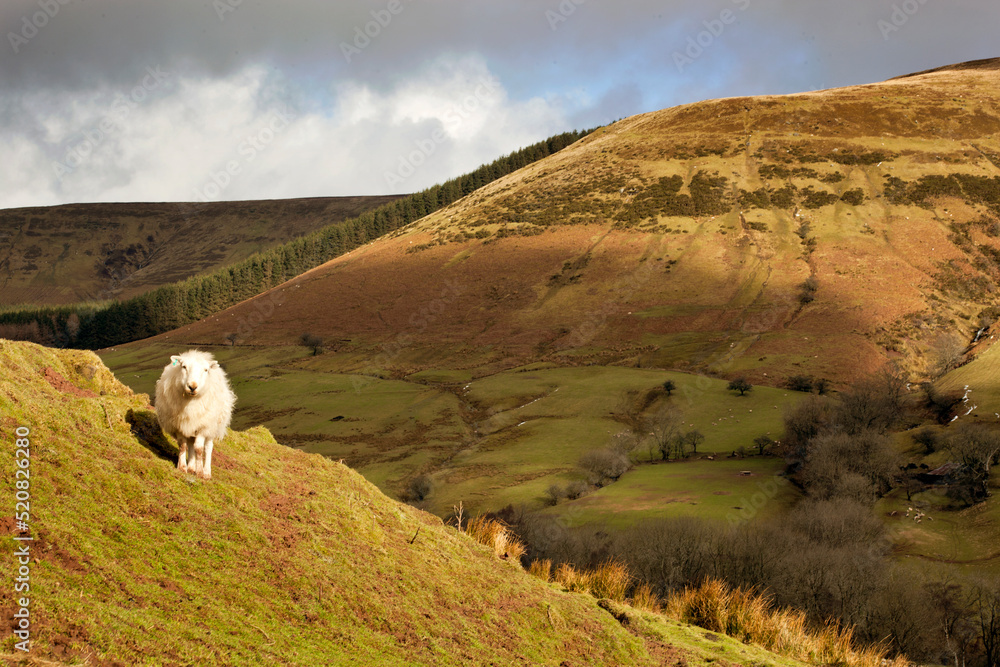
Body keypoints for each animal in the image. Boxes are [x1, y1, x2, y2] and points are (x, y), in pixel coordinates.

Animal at [154, 350, 235, 480]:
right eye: (184, 366)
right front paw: (182, 467)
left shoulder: (202, 426)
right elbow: (183, 445)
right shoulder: (180, 425)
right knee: (191, 444)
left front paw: (200, 472)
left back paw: (206, 472)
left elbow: (199, 449)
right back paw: (191, 467)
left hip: (212, 426)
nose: (192, 386)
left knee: (208, 447)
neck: (190, 402)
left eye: (205, 370)